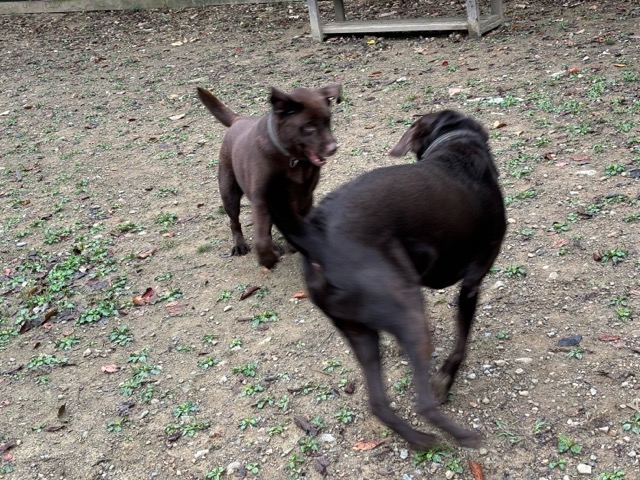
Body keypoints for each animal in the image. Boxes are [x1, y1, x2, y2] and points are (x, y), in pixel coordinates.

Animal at [196, 85, 341, 269]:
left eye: (327, 121)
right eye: (309, 126)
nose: (333, 148)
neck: (291, 160)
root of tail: (238, 119)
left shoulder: (305, 197)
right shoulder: (261, 198)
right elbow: (261, 239)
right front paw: (268, 259)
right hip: (229, 193)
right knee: (234, 221)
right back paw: (240, 245)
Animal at [266, 110, 506, 449]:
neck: (457, 145)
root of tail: (315, 236)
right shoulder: (473, 282)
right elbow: (461, 343)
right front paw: (446, 379)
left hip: (360, 331)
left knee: (378, 402)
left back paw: (419, 439)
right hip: (410, 312)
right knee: (422, 403)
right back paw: (461, 435)